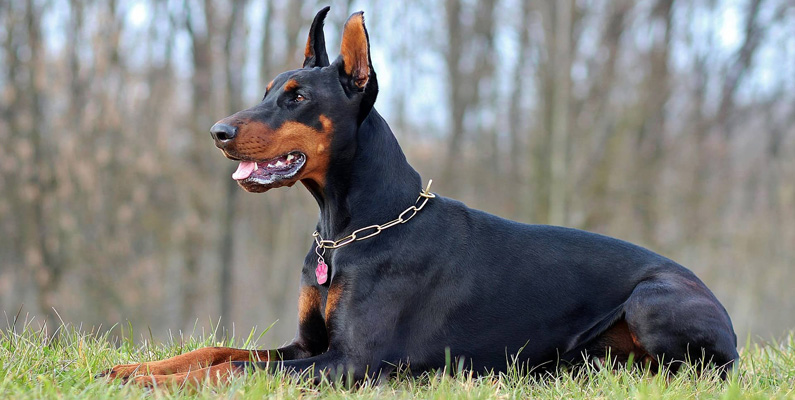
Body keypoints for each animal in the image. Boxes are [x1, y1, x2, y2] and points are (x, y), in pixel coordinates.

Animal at [101, 7, 740, 388]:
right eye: (266, 91)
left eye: (296, 97)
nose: (218, 131)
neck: (349, 230)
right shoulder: (306, 345)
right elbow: (216, 353)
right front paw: (132, 368)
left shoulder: (348, 362)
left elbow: (232, 372)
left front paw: (156, 383)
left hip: (652, 300)